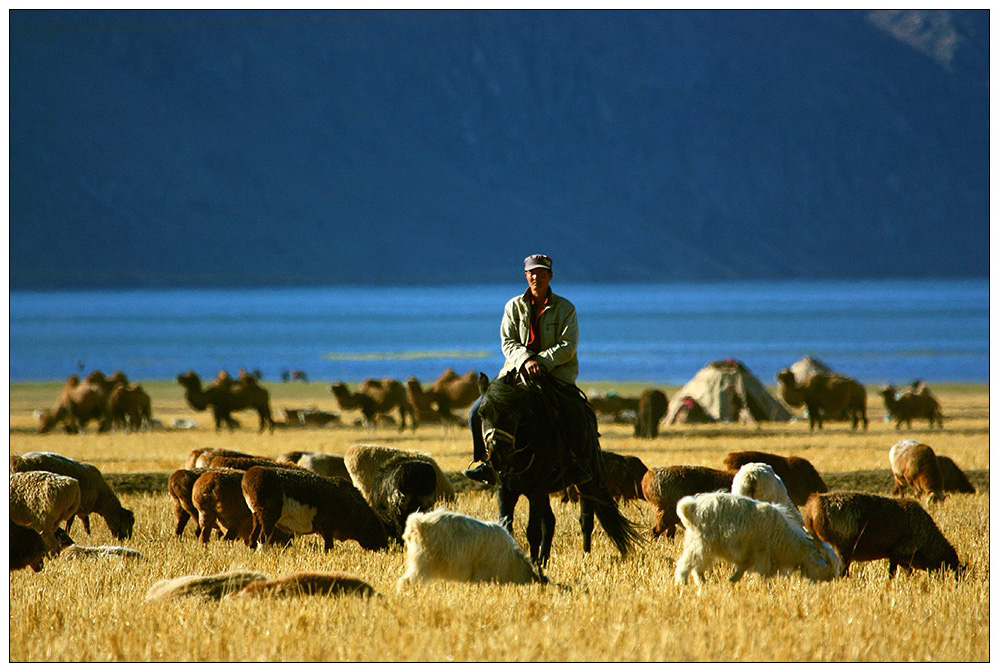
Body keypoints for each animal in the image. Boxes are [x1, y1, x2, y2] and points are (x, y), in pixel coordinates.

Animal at [241, 464, 390, 552]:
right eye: (376, 531)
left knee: (252, 538)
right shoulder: (327, 527)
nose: (385, 548)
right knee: (262, 539)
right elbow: (329, 547)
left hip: (256, 516)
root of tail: (248, 478)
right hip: (268, 517)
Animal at [476, 372, 644, 568]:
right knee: (550, 522)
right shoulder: (505, 491)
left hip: (585, 484)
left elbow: (533, 531)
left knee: (585, 519)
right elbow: (508, 527)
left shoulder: (536, 491)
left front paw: (533, 564)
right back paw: (544, 559)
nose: (496, 455)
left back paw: (585, 556)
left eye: (510, 413)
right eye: (481, 414)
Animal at [668, 490, 840, 584]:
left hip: (703, 547)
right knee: (685, 565)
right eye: (827, 564)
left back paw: (703, 585)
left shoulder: (748, 557)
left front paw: (731, 582)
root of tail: (690, 507)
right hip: (699, 544)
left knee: (698, 568)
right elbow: (763, 576)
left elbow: (740, 572)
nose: (831, 580)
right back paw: (682, 585)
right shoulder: (762, 554)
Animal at [800, 488, 956, 576]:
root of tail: (813, 507)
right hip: (842, 547)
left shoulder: (902, 558)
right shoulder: (897, 552)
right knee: (842, 572)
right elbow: (892, 574)